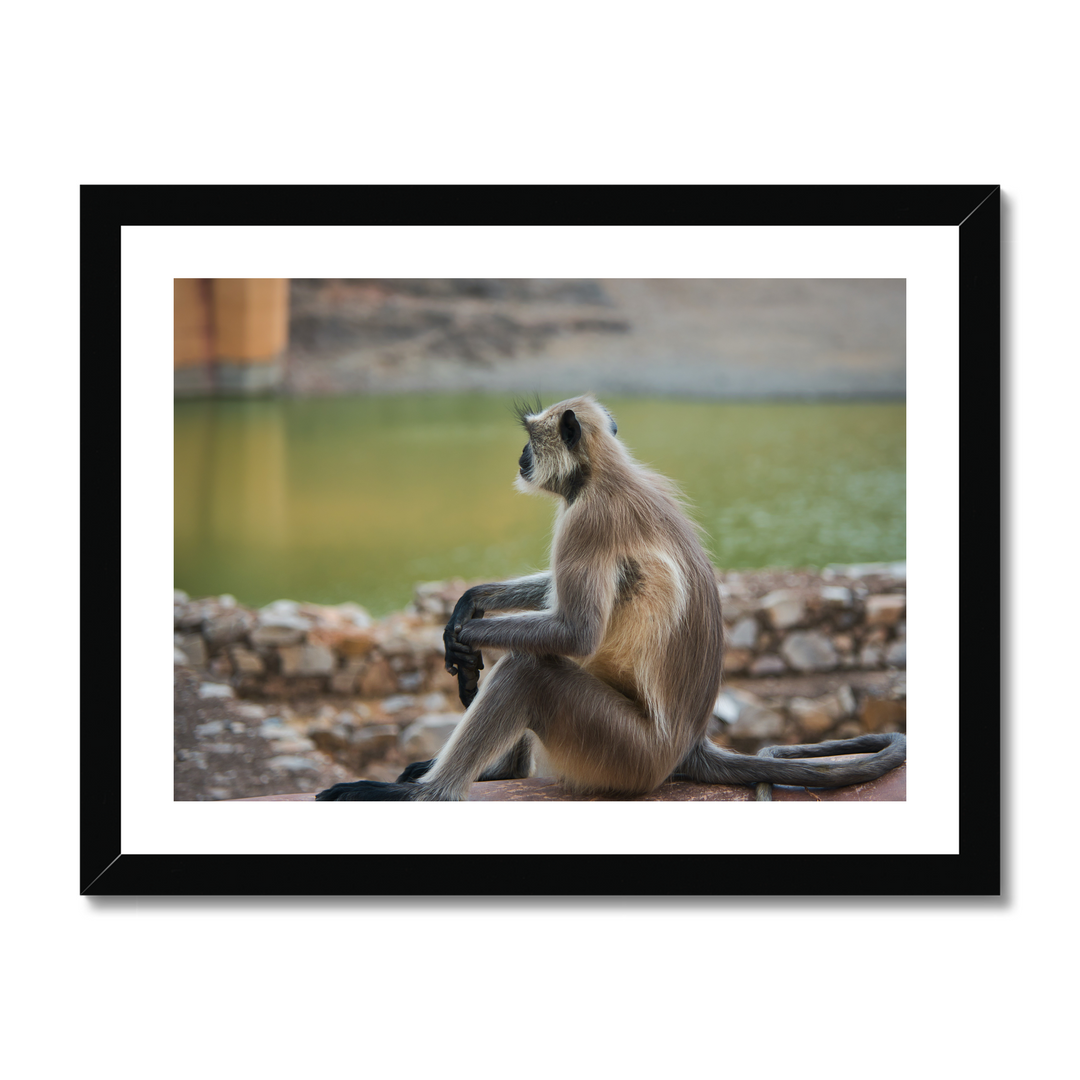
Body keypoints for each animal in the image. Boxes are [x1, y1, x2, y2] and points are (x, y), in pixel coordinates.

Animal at [317, 395, 906, 802]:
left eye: (531, 438)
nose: (520, 455)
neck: (603, 473)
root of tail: (688, 745)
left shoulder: (588, 520)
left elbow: (575, 632)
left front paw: (465, 637)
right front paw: (468, 603)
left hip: (624, 754)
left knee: (531, 667)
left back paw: (425, 793)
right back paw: (500, 772)